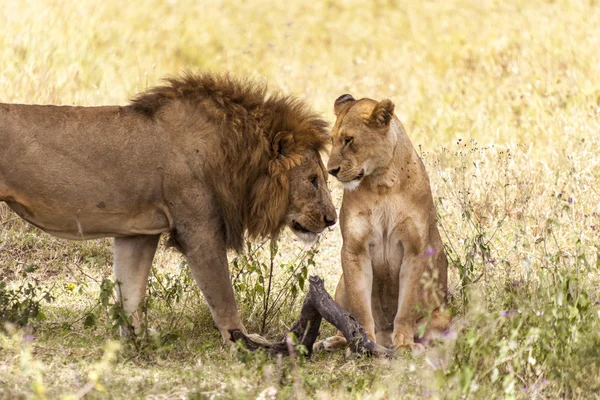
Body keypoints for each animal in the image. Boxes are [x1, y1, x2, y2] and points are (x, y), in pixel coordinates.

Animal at [0, 73, 338, 342]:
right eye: (313, 180)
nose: (331, 219)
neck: (238, 157)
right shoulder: (198, 229)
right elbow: (222, 294)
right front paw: (241, 341)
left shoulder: (137, 232)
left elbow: (131, 291)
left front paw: (136, 341)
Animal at [322, 94, 448, 350]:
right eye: (332, 140)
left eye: (349, 140)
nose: (331, 171)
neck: (382, 183)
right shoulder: (355, 249)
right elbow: (360, 306)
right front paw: (363, 343)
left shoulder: (415, 249)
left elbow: (407, 305)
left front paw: (405, 344)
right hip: (341, 283)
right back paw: (334, 341)